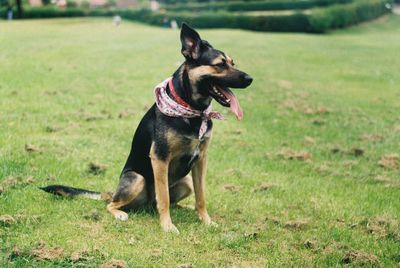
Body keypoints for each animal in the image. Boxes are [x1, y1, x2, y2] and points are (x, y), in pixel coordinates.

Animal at [40, 22, 253, 232]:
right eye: (220, 64)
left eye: (232, 63)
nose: (250, 79)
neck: (192, 110)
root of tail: (113, 192)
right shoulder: (160, 158)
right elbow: (163, 197)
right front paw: (167, 226)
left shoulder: (201, 160)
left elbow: (201, 196)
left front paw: (206, 221)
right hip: (136, 179)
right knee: (114, 204)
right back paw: (120, 213)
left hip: (186, 182)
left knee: (166, 200)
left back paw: (183, 208)